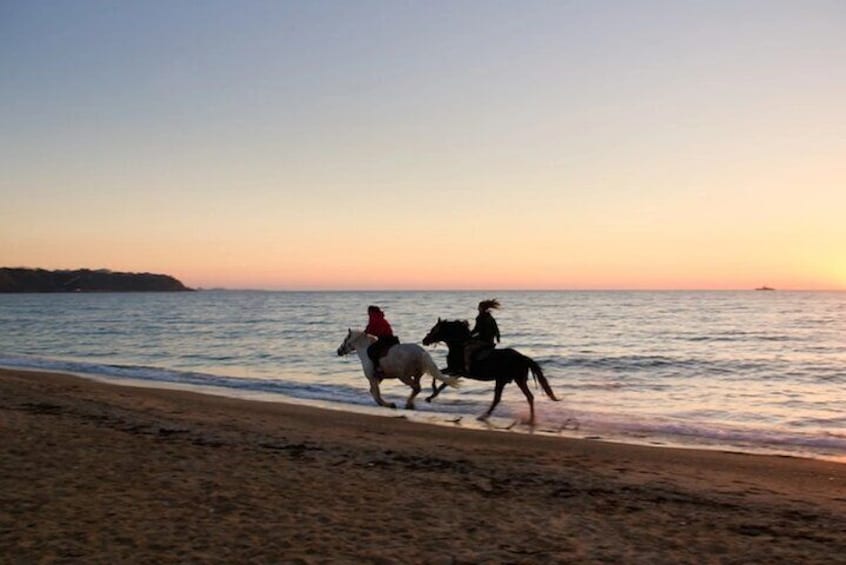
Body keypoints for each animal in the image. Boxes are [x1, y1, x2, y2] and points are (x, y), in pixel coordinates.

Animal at [422, 318, 556, 424]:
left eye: (434, 329)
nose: (424, 340)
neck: (459, 346)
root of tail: (523, 357)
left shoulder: (456, 371)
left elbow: (438, 376)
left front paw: (431, 393)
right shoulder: (456, 372)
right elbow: (442, 380)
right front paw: (431, 396)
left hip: (512, 380)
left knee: (520, 397)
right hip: (507, 380)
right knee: (509, 398)